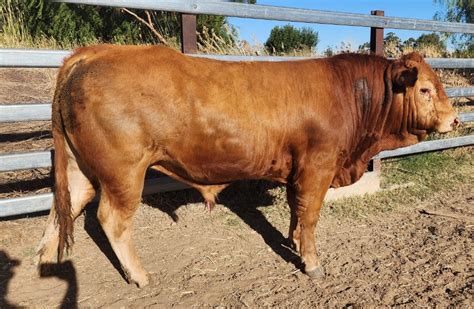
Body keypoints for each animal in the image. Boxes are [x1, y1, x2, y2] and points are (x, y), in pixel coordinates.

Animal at [37, 45, 460, 286]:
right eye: (425, 89)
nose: (455, 120)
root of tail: (94, 52)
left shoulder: (298, 169)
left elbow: (295, 210)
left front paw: (293, 242)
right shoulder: (318, 166)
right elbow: (310, 215)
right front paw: (312, 262)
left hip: (79, 168)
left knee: (62, 210)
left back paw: (47, 263)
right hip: (124, 172)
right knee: (112, 219)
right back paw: (139, 276)